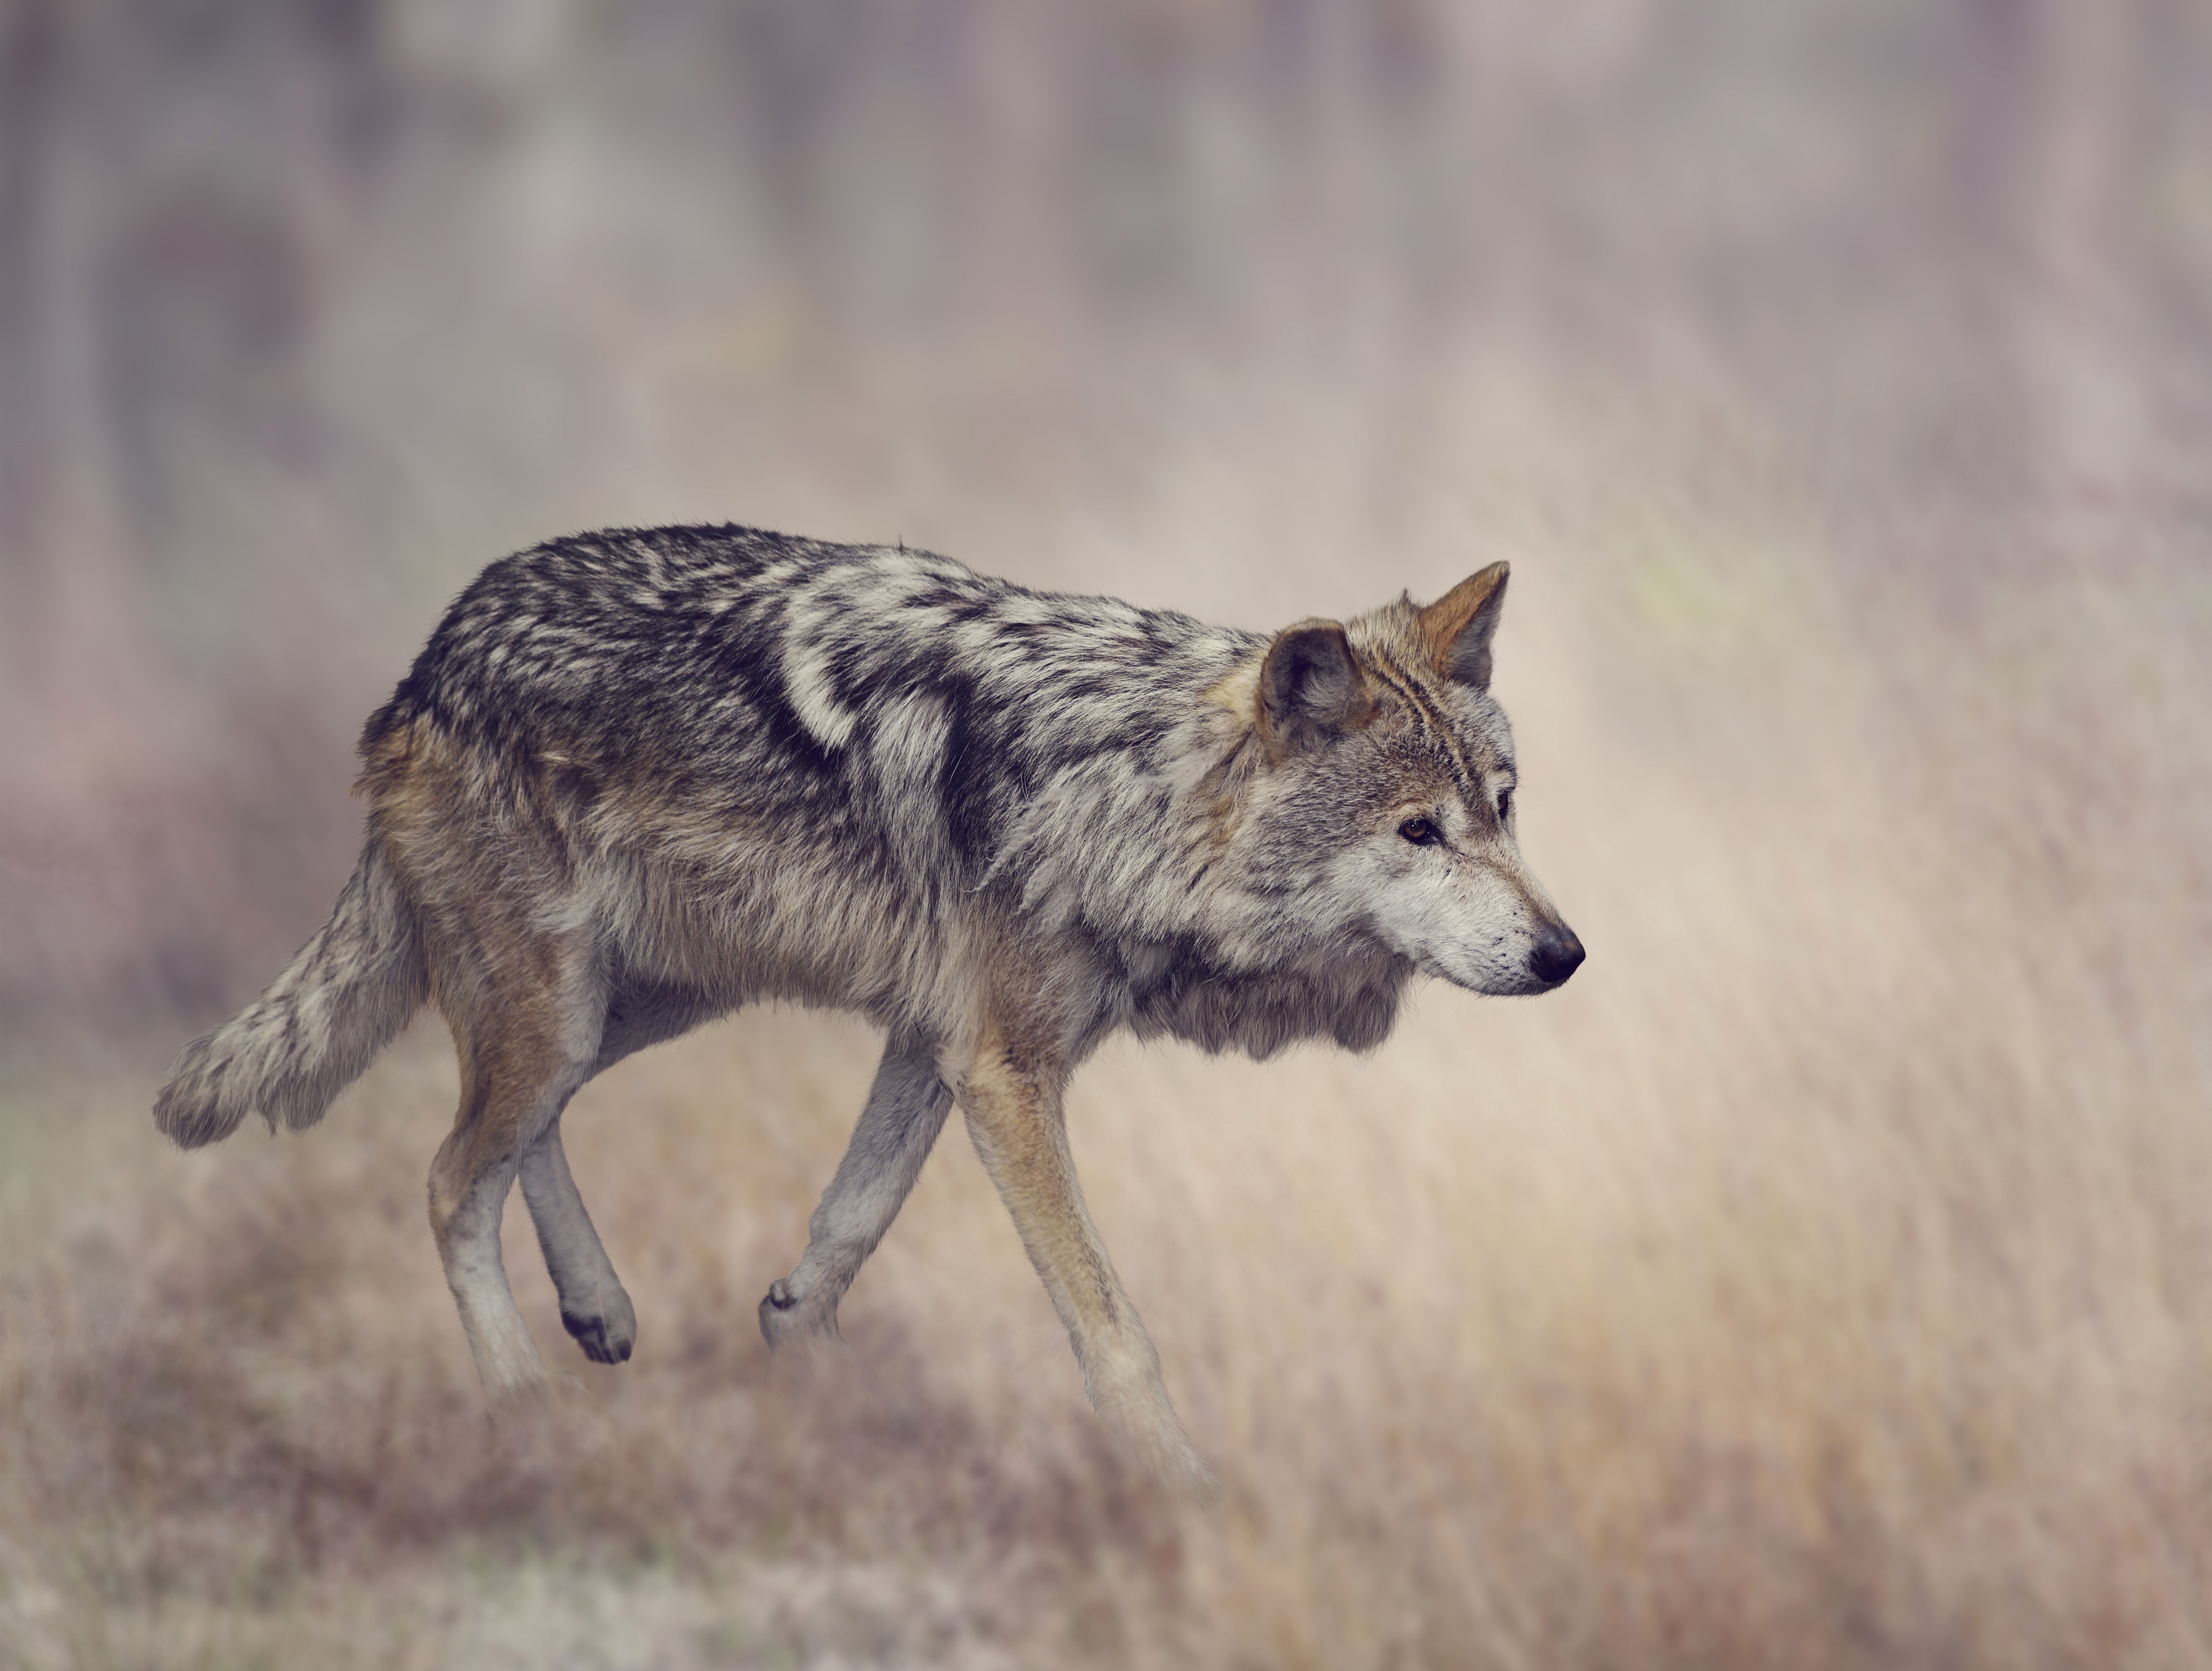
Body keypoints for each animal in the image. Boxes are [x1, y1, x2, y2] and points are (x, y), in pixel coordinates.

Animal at [153, 524, 1582, 1487]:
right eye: (1416, 832)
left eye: (1503, 809)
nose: (1563, 954)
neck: (1118, 787)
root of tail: (432, 655)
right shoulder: (1002, 1067)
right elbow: (1111, 1326)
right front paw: (1181, 1491)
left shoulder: (934, 1039)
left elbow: (846, 1225)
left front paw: (816, 1372)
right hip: (569, 1004)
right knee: (452, 1172)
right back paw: (520, 1400)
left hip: (632, 1003)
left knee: (511, 1133)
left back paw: (598, 1310)